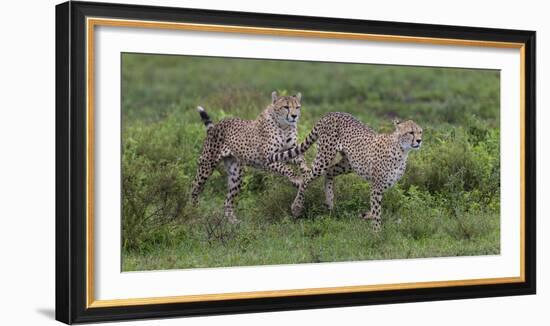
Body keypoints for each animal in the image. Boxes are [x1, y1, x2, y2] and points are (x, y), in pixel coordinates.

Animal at [191, 91, 310, 224]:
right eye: (286, 107)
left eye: (297, 107)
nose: (294, 116)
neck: (284, 126)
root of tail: (218, 124)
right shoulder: (267, 159)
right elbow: (286, 168)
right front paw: (296, 179)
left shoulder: (290, 152)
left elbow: (301, 161)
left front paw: (306, 172)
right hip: (206, 165)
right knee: (194, 187)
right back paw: (194, 211)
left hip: (236, 175)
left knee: (227, 200)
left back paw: (233, 221)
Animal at [270, 113, 424, 230]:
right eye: (411, 132)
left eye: (420, 132)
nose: (419, 140)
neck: (402, 150)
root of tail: (332, 113)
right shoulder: (377, 186)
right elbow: (376, 210)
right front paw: (376, 233)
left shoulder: (383, 185)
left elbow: (375, 208)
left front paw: (366, 215)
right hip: (325, 157)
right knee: (307, 177)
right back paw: (297, 206)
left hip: (349, 163)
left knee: (329, 172)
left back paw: (329, 200)